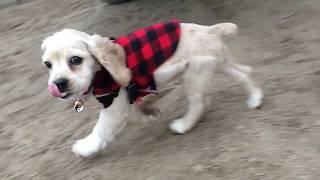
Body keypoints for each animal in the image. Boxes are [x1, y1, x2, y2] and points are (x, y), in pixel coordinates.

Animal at [41, 20, 264, 158]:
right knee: (244, 72)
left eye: (75, 60)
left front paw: (86, 147)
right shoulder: (129, 97)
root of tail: (209, 29)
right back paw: (255, 98)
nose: (58, 83)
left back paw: (183, 125)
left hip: (195, 74)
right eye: (48, 64)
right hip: (219, 63)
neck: (102, 69)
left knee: (200, 102)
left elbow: (101, 128)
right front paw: (149, 114)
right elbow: (136, 113)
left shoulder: (115, 103)